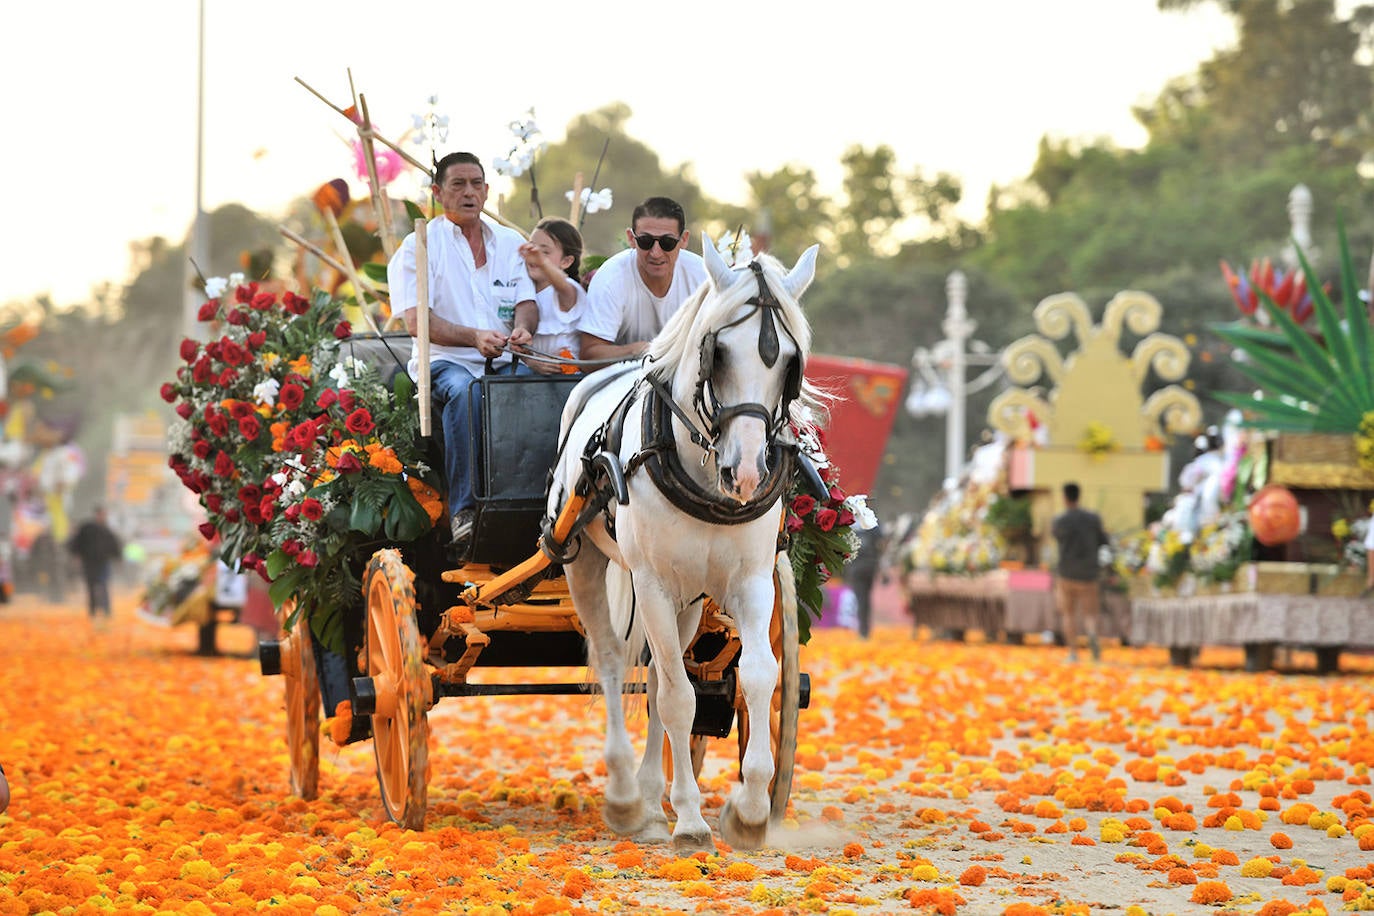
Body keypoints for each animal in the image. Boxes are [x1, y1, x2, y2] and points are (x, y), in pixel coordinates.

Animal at [546, 238, 818, 851]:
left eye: (789, 364)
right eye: (719, 353)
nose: (746, 472)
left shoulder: (750, 581)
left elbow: (757, 677)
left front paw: (750, 809)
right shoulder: (649, 582)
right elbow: (677, 696)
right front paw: (691, 821)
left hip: (688, 599)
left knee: (653, 679)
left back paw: (651, 801)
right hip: (587, 564)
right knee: (614, 664)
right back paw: (627, 796)